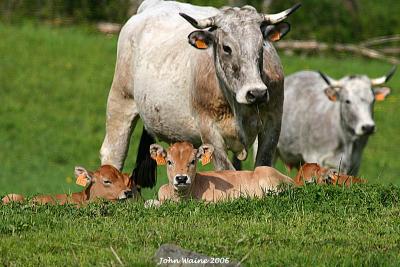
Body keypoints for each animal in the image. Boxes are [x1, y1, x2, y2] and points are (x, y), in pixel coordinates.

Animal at [99, 0, 300, 187]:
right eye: (226, 48)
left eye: (261, 46)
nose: (256, 93)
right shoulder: (209, 129)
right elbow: (225, 169)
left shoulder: (273, 121)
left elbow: (263, 163)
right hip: (120, 100)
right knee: (113, 152)